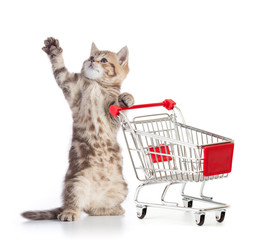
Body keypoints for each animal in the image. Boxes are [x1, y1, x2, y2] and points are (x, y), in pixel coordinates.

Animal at [21, 36, 134, 221]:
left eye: (103, 60)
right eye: (91, 56)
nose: (92, 60)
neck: (97, 84)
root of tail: (94, 198)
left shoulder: (113, 118)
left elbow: (118, 105)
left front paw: (127, 98)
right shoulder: (70, 84)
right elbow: (59, 68)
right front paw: (54, 50)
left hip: (121, 188)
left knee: (94, 210)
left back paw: (113, 209)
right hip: (75, 182)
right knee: (75, 203)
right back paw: (69, 212)